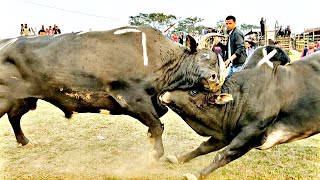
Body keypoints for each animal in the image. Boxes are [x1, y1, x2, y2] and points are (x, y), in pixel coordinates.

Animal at [0, 27, 225, 160]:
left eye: (216, 60)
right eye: (205, 56)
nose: (215, 79)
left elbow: (154, 129)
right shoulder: (133, 98)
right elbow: (157, 126)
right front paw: (155, 155)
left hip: (25, 99)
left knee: (14, 116)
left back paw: (25, 142)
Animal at [161, 47, 320, 179]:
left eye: (193, 92)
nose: (163, 94)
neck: (241, 98)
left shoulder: (253, 134)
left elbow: (224, 155)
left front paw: (196, 174)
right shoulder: (226, 133)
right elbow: (204, 147)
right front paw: (179, 158)